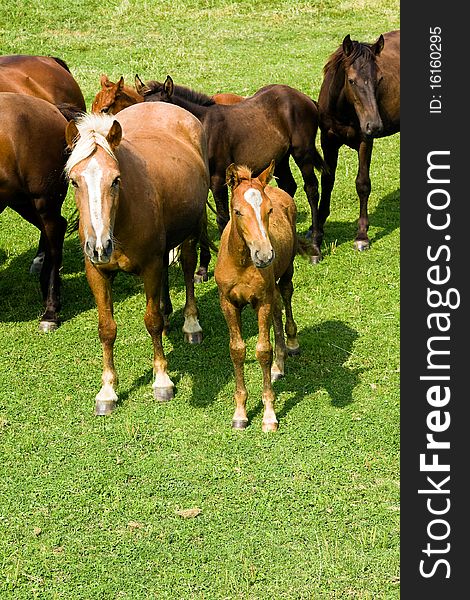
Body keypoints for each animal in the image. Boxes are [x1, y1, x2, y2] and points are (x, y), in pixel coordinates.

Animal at [64, 103, 209, 414]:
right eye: (74, 182)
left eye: (115, 180)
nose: (99, 246)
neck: (121, 220)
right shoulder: (96, 272)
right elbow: (106, 329)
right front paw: (107, 390)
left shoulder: (150, 267)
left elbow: (151, 321)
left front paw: (162, 380)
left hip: (191, 231)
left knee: (188, 268)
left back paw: (191, 324)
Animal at [138, 75, 324, 260]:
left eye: (164, 109)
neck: (203, 128)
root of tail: (307, 99)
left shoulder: (218, 179)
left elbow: (223, 218)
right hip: (280, 158)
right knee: (288, 186)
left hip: (303, 153)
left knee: (311, 189)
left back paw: (316, 246)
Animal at [214, 159, 302, 432]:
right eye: (237, 211)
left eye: (269, 210)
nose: (264, 255)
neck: (242, 262)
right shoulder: (228, 303)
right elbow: (237, 350)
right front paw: (240, 414)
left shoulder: (261, 301)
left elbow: (263, 350)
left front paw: (269, 415)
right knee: (277, 310)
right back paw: (279, 365)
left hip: (285, 271)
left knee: (285, 296)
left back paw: (291, 345)